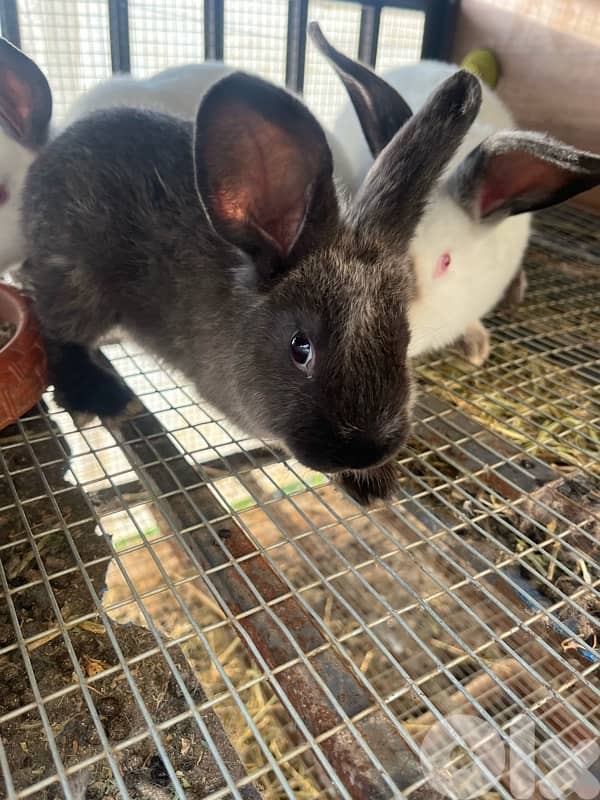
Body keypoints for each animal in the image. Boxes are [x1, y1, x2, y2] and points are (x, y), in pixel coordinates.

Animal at [20, 66, 484, 505]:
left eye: (404, 342)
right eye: (300, 347)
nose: (365, 450)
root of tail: (47, 155)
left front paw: (374, 479)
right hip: (77, 282)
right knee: (56, 332)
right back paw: (103, 397)